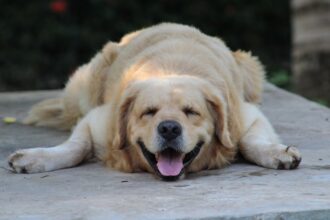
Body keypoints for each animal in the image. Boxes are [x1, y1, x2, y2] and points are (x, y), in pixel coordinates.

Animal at [7, 23, 302, 180]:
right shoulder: (98, 121)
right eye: (148, 112)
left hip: (250, 68)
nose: (169, 128)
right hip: (83, 87)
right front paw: (36, 158)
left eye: (191, 112)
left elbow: (249, 140)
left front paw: (277, 153)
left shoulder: (245, 115)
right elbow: (76, 146)